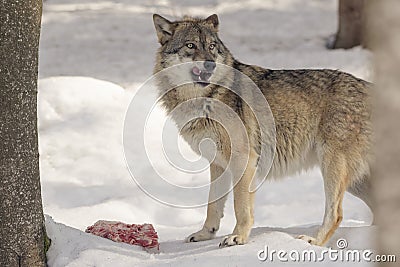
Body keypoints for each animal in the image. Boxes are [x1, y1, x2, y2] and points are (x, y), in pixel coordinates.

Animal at [152, 13, 374, 248]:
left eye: (211, 46)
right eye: (191, 45)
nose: (210, 64)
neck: (207, 97)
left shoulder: (244, 161)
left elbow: (240, 207)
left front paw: (238, 237)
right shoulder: (217, 164)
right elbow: (213, 205)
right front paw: (205, 234)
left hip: (333, 169)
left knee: (336, 213)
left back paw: (313, 241)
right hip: (355, 182)